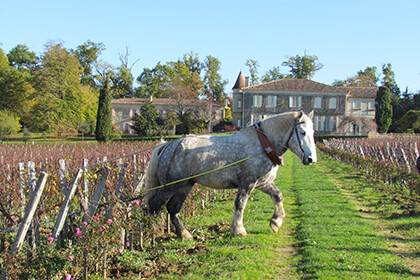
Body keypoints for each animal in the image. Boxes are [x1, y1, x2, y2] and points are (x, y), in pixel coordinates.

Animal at [144, 110, 316, 240]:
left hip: (185, 185)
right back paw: (149, 235)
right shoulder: (247, 182)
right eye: (302, 132)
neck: (263, 144)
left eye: (313, 132)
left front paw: (276, 222)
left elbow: (278, 196)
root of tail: (168, 145)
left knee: (173, 208)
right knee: (152, 206)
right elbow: (240, 204)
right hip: (171, 186)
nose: (311, 159)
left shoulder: (262, 182)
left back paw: (184, 234)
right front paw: (238, 229)